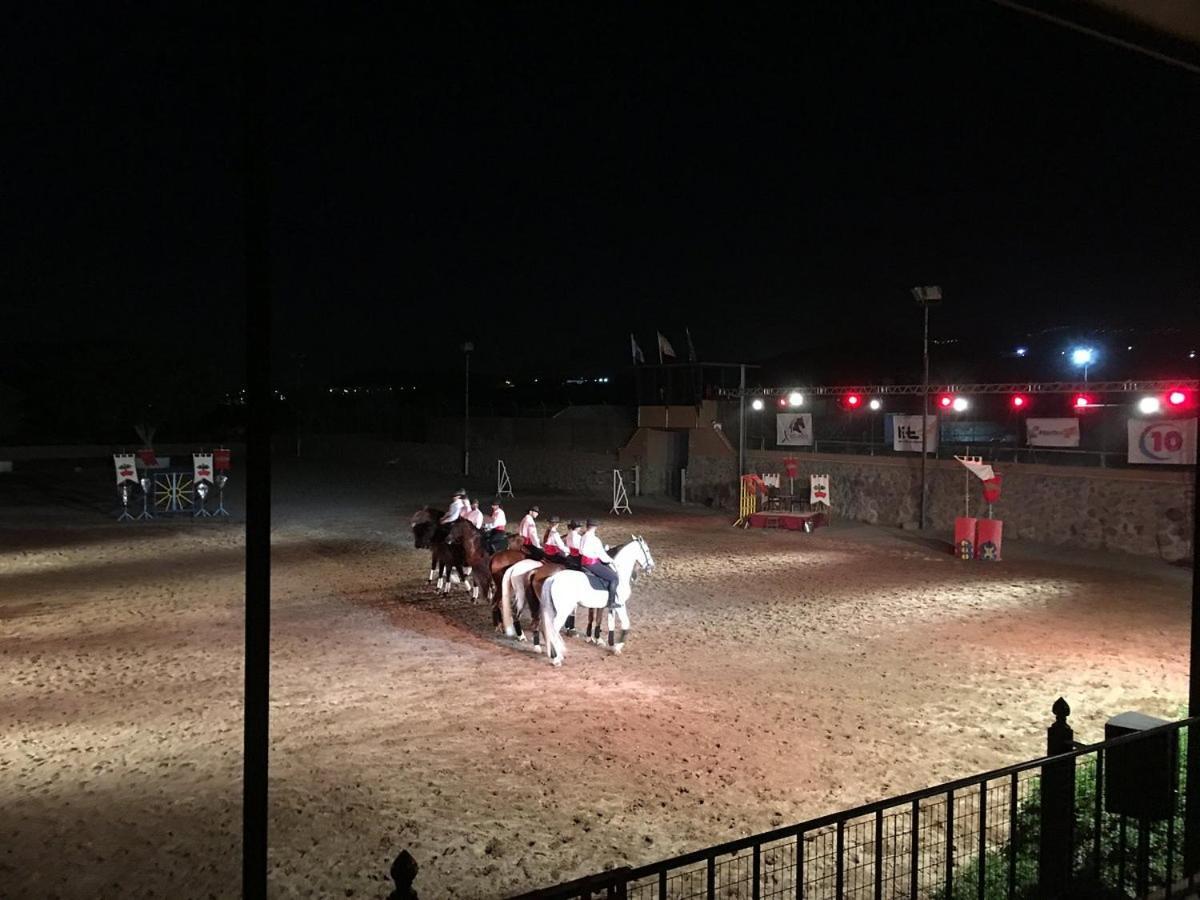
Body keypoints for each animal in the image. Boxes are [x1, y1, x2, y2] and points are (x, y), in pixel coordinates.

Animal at [542, 535, 657, 672]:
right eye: (647, 550)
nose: (651, 567)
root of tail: (553, 578)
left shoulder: (611, 607)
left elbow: (610, 624)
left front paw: (611, 646)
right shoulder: (621, 605)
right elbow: (626, 624)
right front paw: (618, 647)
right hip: (563, 611)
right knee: (553, 629)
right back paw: (556, 659)